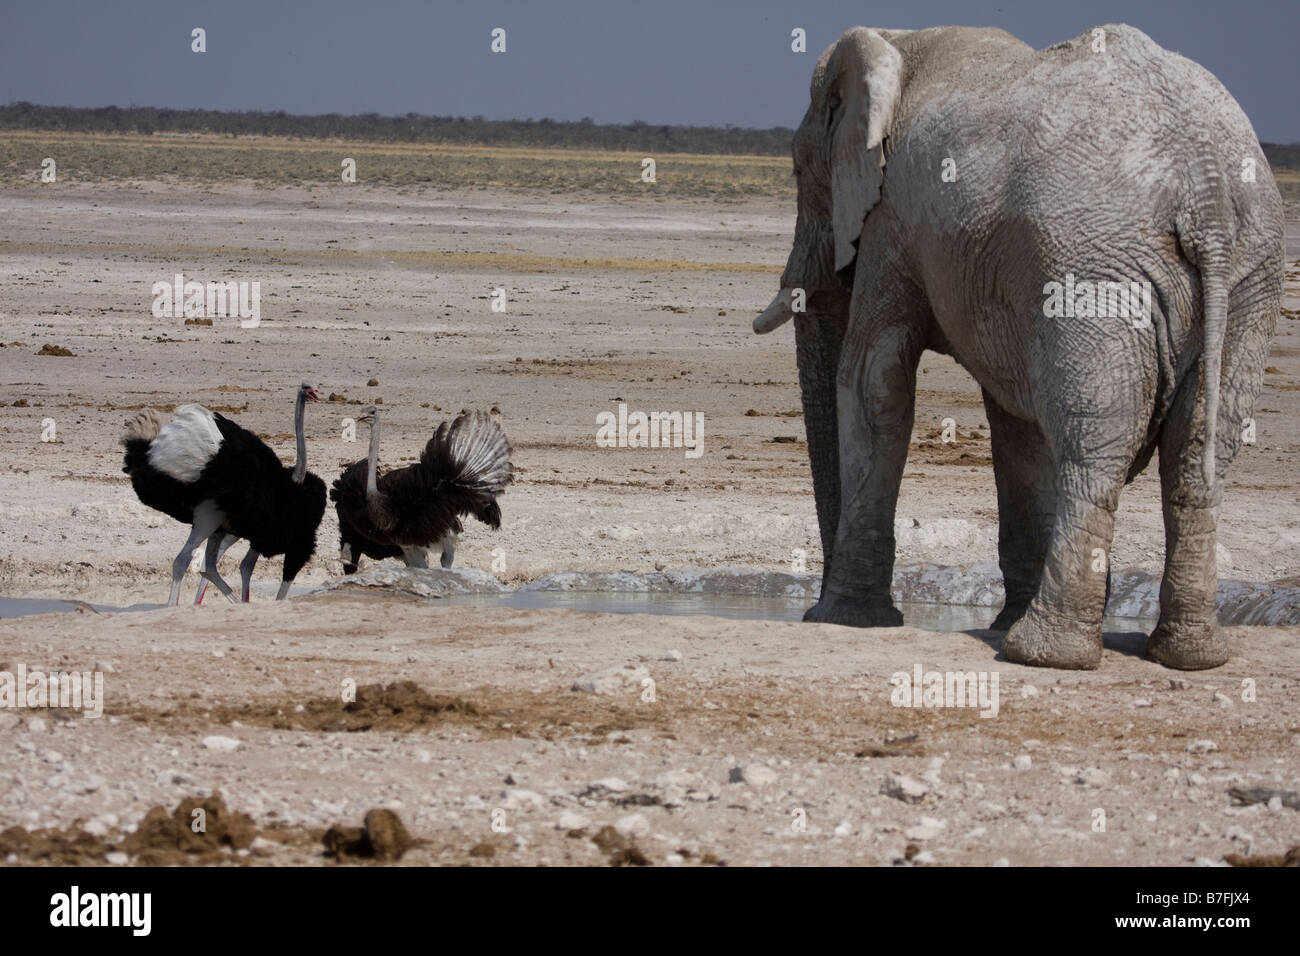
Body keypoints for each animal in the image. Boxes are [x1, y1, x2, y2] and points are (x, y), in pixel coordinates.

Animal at [753, 24, 1284, 670]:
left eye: (799, 171)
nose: (809, 609)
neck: (898, 41)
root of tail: (1204, 192)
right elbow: (1015, 422)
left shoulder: (892, 220)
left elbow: (873, 380)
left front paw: (849, 621)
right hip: (1249, 274)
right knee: (1202, 443)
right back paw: (1188, 654)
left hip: (1093, 266)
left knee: (1096, 438)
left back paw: (1043, 654)